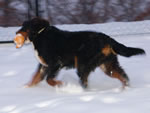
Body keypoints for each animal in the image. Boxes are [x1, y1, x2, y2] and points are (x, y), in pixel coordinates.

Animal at [14, 17, 145, 88]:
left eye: (24, 27)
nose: (16, 33)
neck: (40, 35)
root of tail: (106, 38)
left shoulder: (55, 63)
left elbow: (49, 80)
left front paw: (62, 84)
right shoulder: (44, 65)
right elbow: (35, 78)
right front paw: (26, 88)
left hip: (83, 64)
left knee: (85, 83)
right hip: (108, 65)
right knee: (124, 77)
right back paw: (125, 90)